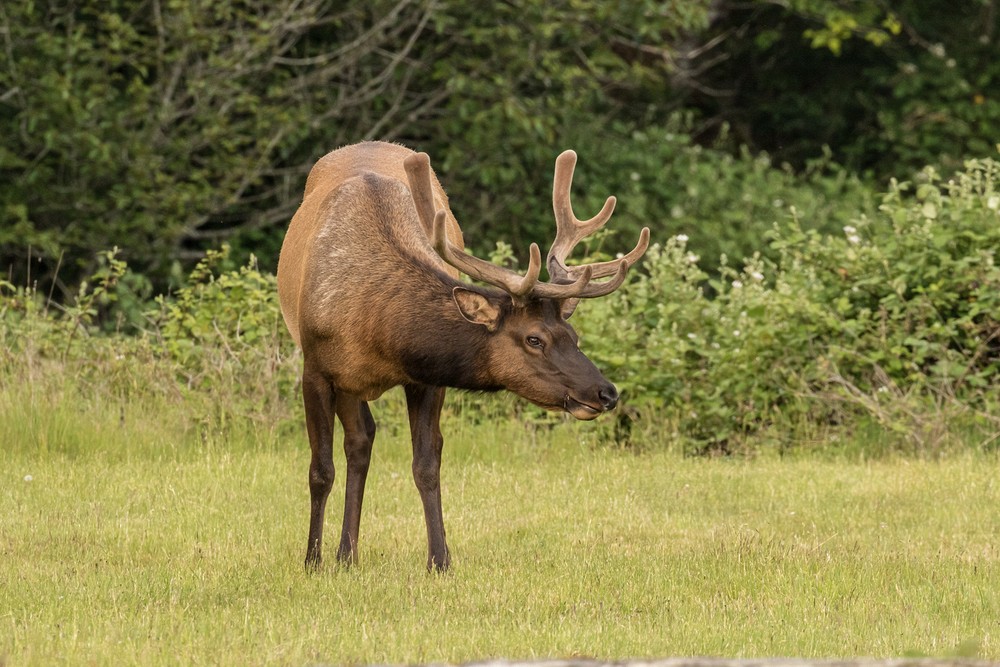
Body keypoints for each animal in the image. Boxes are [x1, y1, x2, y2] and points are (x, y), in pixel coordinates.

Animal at [276, 140, 649, 571]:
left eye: (573, 336)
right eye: (534, 339)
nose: (606, 392)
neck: (374, 328)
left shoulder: (424, 378)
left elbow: (426, 465)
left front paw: (440, 560)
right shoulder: (316, 369)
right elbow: (320, 471)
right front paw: (311, 561)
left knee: (361, 440)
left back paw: (348, 553)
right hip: (341, 379)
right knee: (357, 442)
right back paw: (341, 555)